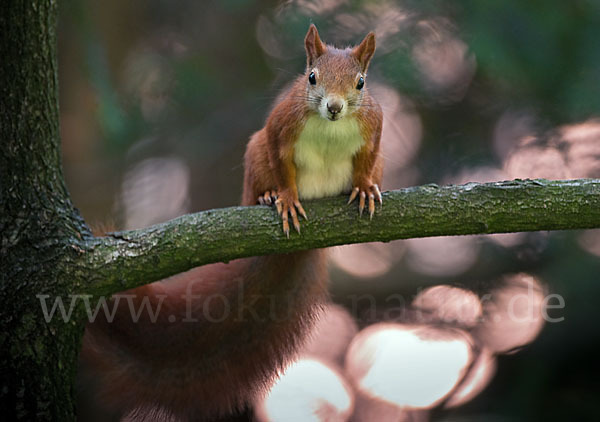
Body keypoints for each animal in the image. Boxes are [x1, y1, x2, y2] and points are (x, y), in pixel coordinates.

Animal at [79, 24, 382, 420]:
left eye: (361, 83)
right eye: (312, 77)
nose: (334, 107)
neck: (331, 129)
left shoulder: (373, 129)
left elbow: (366, 161)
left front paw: (364, 187)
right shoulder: (280, 130)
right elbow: (283, 166)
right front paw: (286, 198)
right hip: (255, 155)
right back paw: (266, 198)